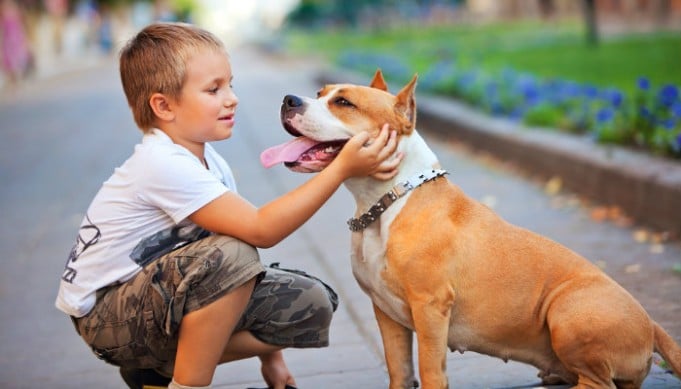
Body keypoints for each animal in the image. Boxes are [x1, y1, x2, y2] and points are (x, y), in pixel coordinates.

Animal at [260, 69, 680, 388]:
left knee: (599, 383)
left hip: (568, 311)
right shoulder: (386, 313)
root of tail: (652, 323)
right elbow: (399, 370)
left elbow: (430, 370)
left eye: (344, 103)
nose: (289, 100)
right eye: (320, 93)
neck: (384, 203)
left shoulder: (430, 307)